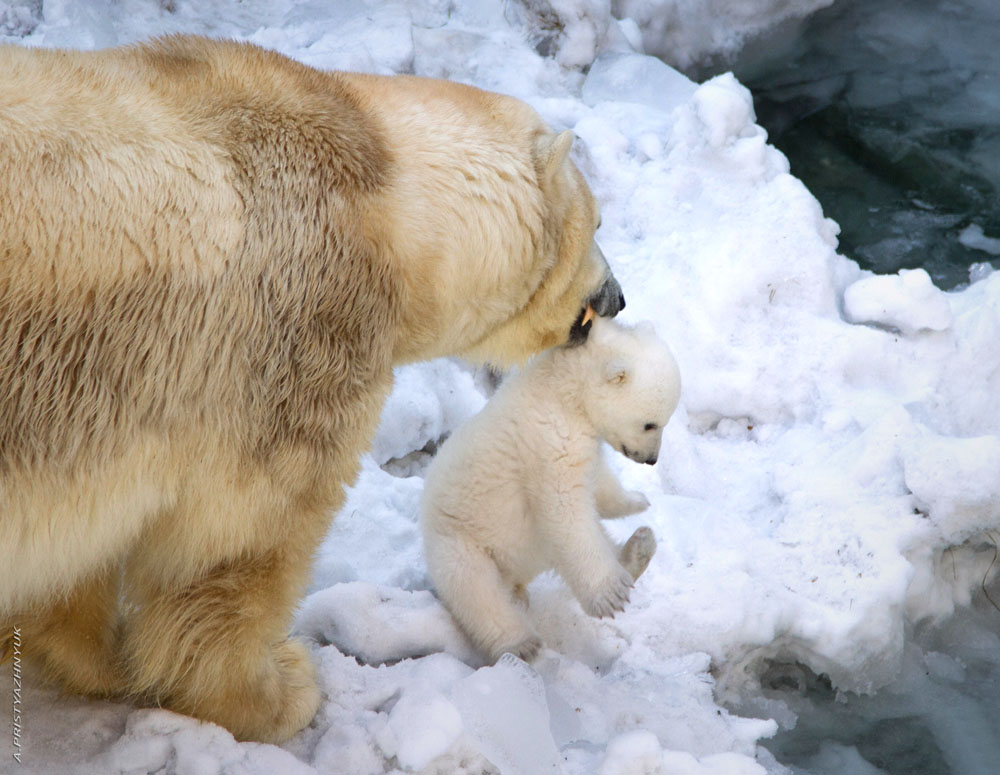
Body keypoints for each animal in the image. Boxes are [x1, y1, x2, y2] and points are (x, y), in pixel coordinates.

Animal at [0, 38, 620, 744]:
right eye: (599, 222)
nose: (619, 298)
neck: (388, 196)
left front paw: (87, 652)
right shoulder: (292, 339)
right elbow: (241, 534)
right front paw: (276, 692)